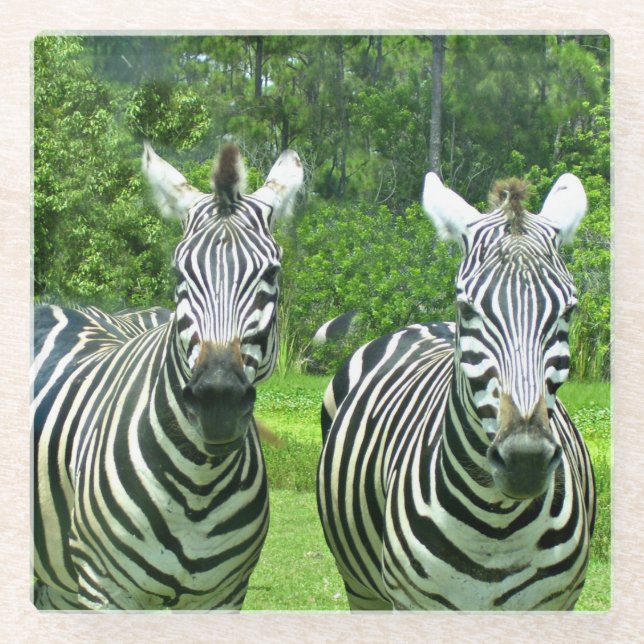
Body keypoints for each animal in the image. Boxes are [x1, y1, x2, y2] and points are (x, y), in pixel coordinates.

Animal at [32, 142, 303, 610]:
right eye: (179, 273)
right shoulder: (103, 589)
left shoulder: (225, 597)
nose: (218, 403)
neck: (199, 486)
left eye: (271, 273)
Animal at [317, 171, 595, 610]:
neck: (497, 526)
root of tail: (427, 324)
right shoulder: (411, 602)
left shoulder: (557, 604)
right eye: (467, 308)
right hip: (361, 588)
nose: (525, 460)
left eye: (568, 311)